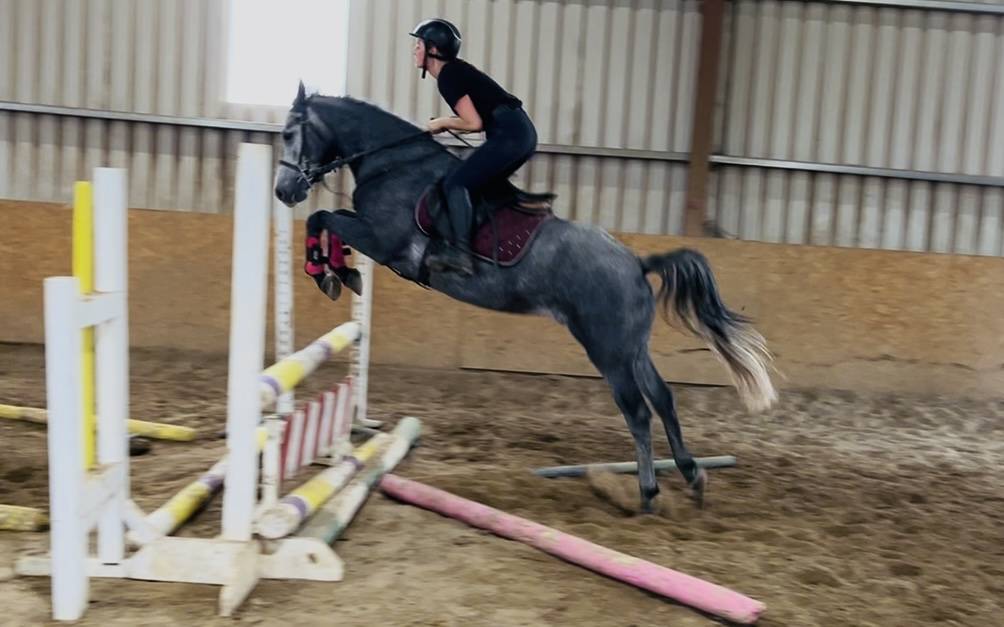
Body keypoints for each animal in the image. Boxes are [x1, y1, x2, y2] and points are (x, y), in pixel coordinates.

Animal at [273, 82, 777, 512]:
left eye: (289, 133)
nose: (283, 191)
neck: (393, 164)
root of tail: (636, 262)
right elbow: (328, 218)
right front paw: (339, 270)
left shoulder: (382, 240)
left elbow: (322, 218)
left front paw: (329, 272)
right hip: (631, 347)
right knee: (664, 399)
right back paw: (692, 476)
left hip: (607, 349)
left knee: (637, 410)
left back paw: (649, 493)